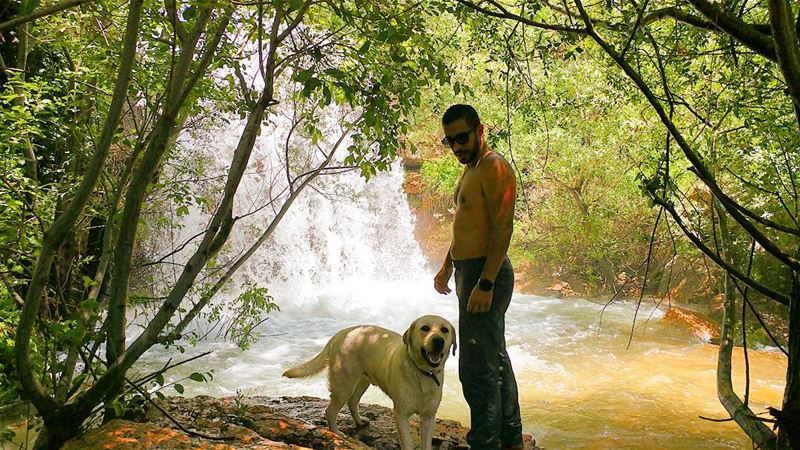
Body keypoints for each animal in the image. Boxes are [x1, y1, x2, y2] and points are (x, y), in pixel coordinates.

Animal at [282, 316, 456, 450]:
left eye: (444, 330)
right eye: (425, 328)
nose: (438, 340)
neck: (423, 373)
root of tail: (342, 333)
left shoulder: (429, 417)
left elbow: (426, 443)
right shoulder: (401, 415)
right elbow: (407, 443)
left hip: (362, 381)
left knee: (353, 402)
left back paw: (359, 422)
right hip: (344, 385)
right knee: (331, 411)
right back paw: (337, 434)